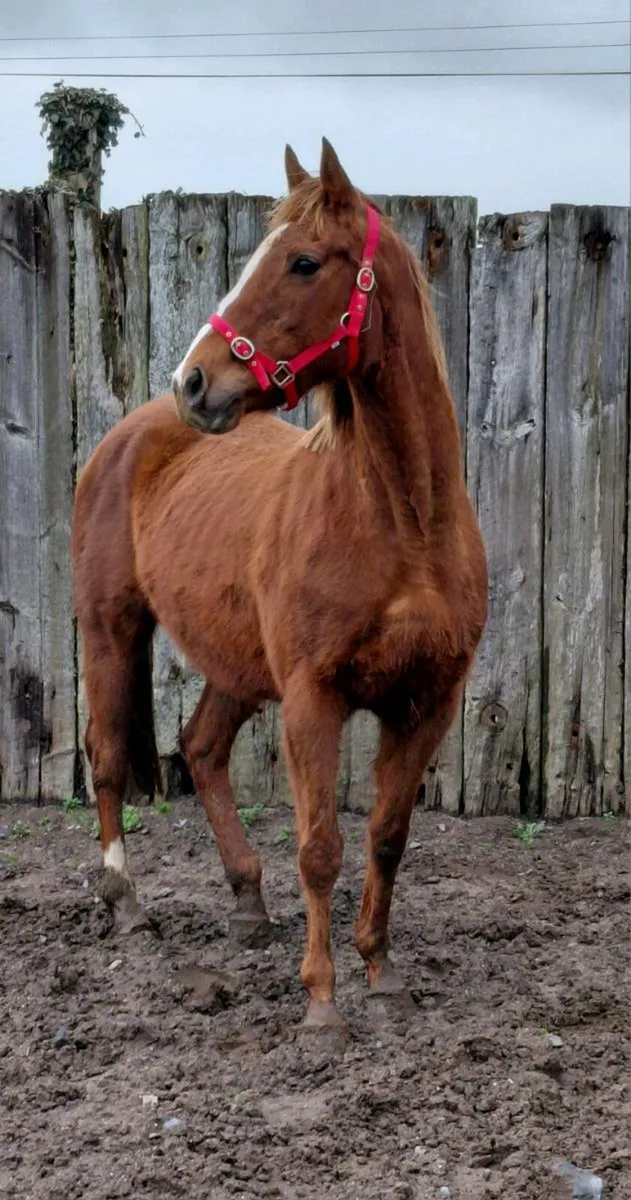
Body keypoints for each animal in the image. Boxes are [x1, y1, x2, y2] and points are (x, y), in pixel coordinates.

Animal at [72, 138, 488, 1033]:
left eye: (302, 262)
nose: (194, 382)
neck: (402, 526)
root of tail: (132, 432)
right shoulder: (310, 696)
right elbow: (320, 847)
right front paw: (323, 1002)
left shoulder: (427, 702)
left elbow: (387, 836)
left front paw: (380, 971)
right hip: (110, 626)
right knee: (109, 754)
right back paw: (126, 902)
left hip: (235, 663)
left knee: (201, 749)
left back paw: (248, 902)